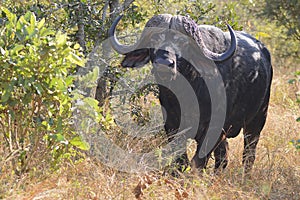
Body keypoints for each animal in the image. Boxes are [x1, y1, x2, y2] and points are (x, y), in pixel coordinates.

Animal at [108, 14, 272, 173]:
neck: (187, 95)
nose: (164, 64)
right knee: (223, 158)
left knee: (248, 155)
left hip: (257, 120)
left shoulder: (213, 130)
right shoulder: (172, 126)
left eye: (183, 42)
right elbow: (181, 160)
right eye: (154, 40)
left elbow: (197, 163)